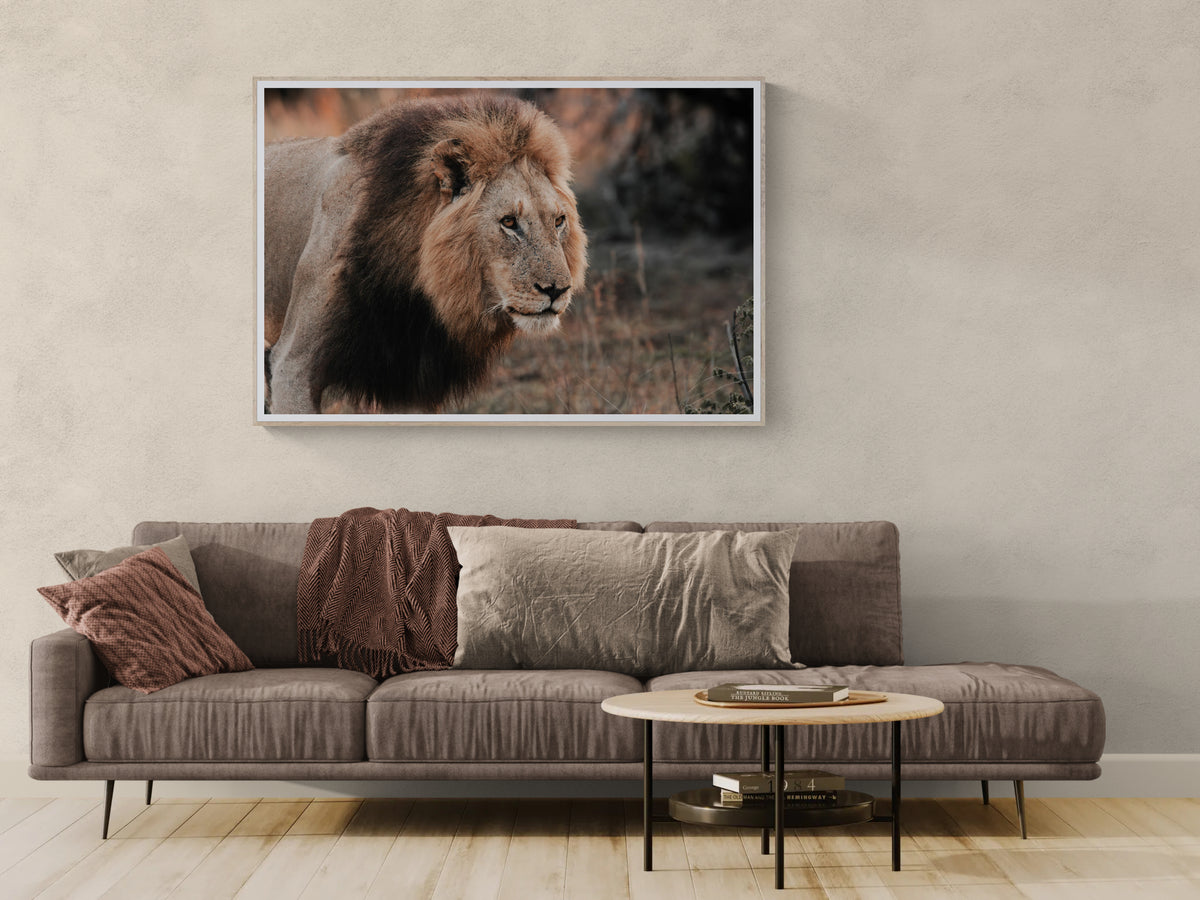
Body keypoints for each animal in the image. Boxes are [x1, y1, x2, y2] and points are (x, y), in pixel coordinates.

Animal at [264, 93, 588, 414]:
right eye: (509, 222)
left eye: (558, 221)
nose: (557, 290)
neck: (418, 294)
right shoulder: (293, 366)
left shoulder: (410, 382)